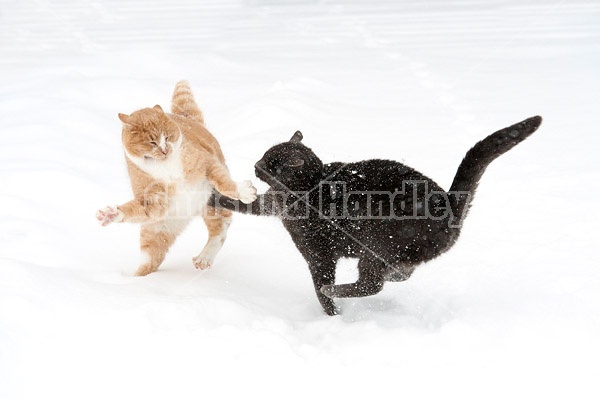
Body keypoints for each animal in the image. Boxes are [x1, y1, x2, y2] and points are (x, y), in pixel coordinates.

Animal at [96, 79, 255, 276]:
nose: (165, 150)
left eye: (167, 136)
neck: (163, 164)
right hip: (156, 231)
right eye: (152, 142)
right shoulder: (153, 201)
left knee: (220, 228)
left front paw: (244, 192)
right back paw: (134, 279)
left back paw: (204, 257)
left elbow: (225, 183)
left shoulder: (208, 164)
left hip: (210, 204)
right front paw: (111, 214)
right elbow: (135, 209)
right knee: (151, 261)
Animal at [211, 115, 544, 316]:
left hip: (375, 243)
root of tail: (450, 204)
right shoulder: (271, 203)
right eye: (264, 157)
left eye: (271, 163)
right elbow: (243, 203)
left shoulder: (318, 254)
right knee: (399, 275)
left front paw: (331, 314)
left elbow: (321, 288)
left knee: (371, 284)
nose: (255, 165)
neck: (307, 187)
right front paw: (212, 196)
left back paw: (338, 289)